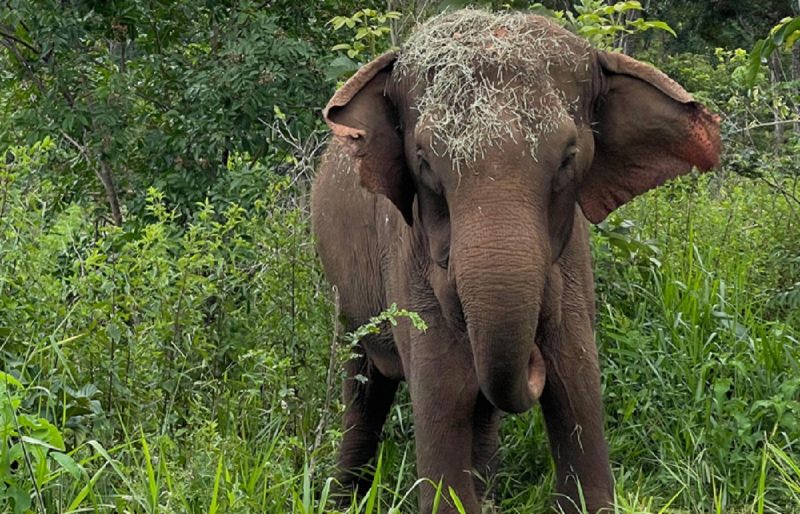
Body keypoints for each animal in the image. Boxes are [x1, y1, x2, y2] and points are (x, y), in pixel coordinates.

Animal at [310, 9, 720, 512]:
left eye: (567, 158)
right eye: (424, 161)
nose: (531, 359)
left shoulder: (573, 263)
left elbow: (577, 388)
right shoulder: (407, 259)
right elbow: (442, 401)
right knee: (364, 390)